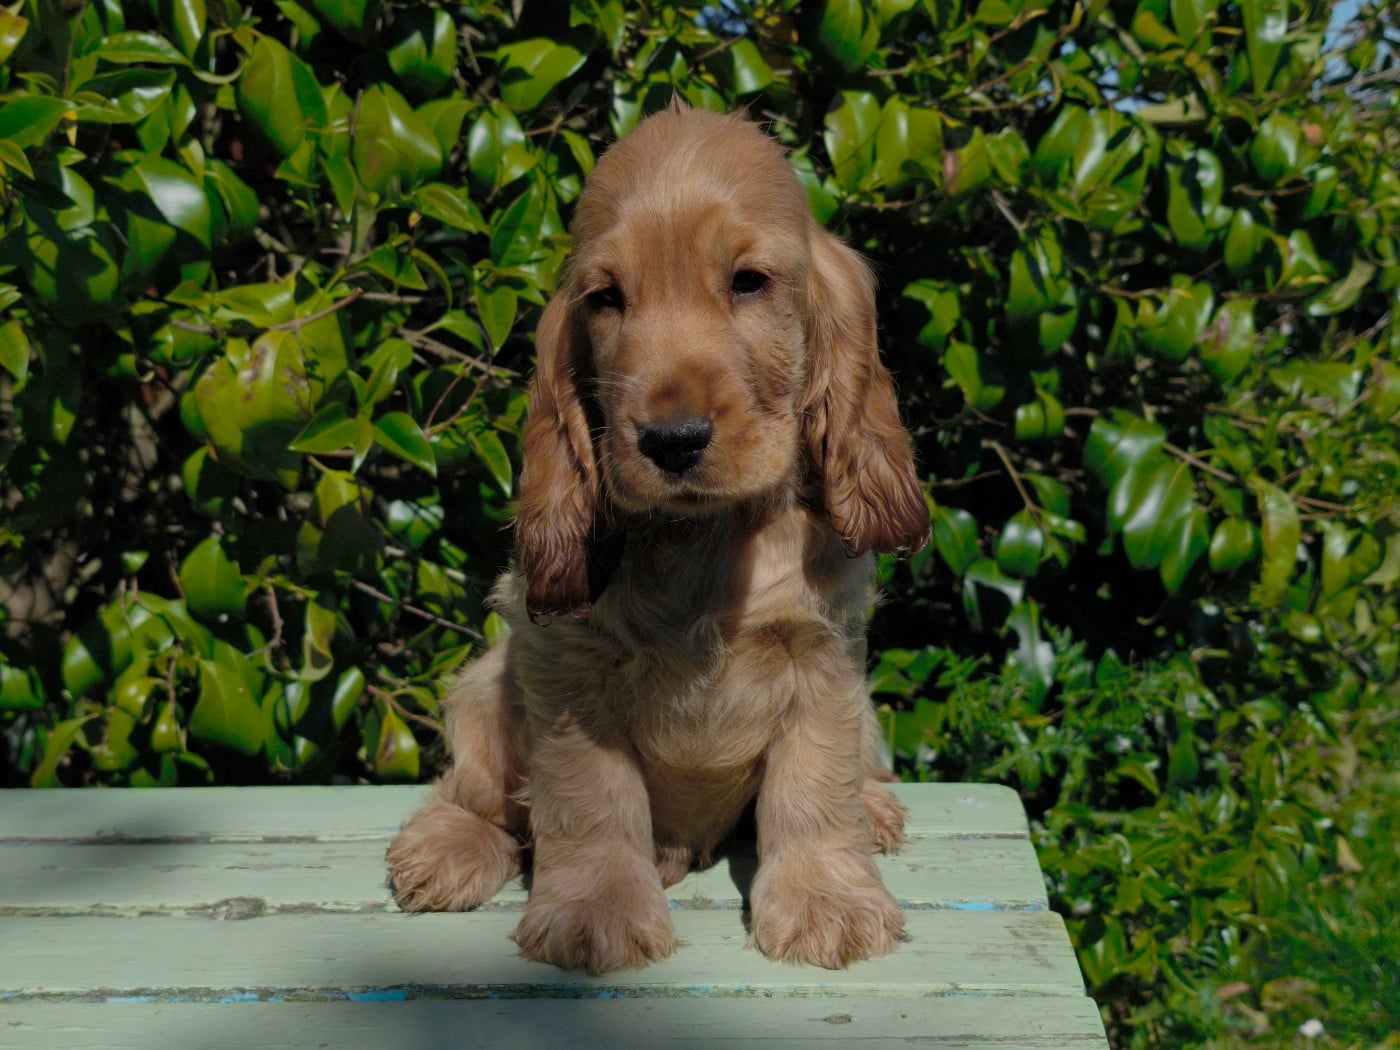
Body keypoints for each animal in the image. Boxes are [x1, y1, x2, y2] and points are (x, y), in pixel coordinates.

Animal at [386, 102, 930, 975]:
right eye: (608, 298)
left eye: (748, 281)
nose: (673, 440)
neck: (707, 538)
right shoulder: (567, 669)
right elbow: (590, 800)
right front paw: (595, 912)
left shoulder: (824, 658)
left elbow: (816, 786)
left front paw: (828, 903)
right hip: (481, 687)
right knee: (483, 796)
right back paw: (447, 845)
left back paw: (876, 811)